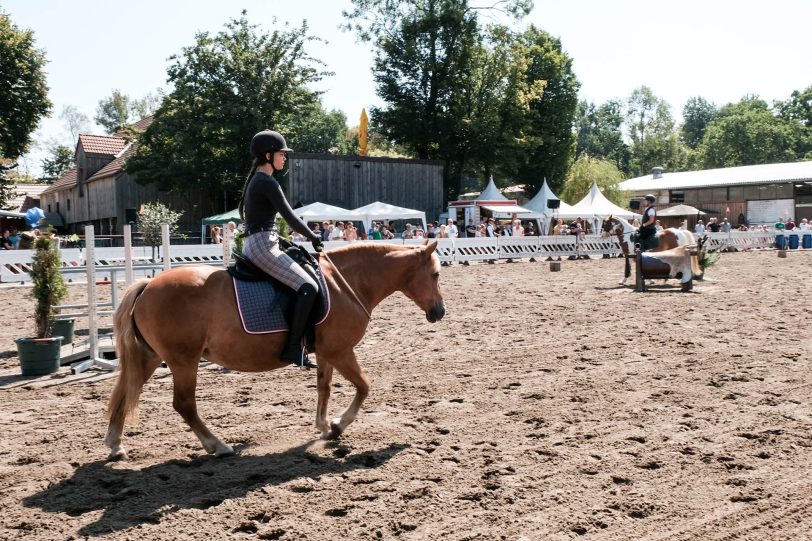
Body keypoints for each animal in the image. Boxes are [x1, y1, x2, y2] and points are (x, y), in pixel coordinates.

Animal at [105, 240, 448, 460]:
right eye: (435, 274)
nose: (439, 312)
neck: (345, 284)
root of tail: (147, 285)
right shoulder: (341, 351)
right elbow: (364, 386)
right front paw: (339, 424)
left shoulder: (327, 353)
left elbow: (324, 387)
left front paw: (324, 426)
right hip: (183, 361)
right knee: (184, 404)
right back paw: (218, 446)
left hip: (152, 358)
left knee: (126, 391)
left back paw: (115, 445)